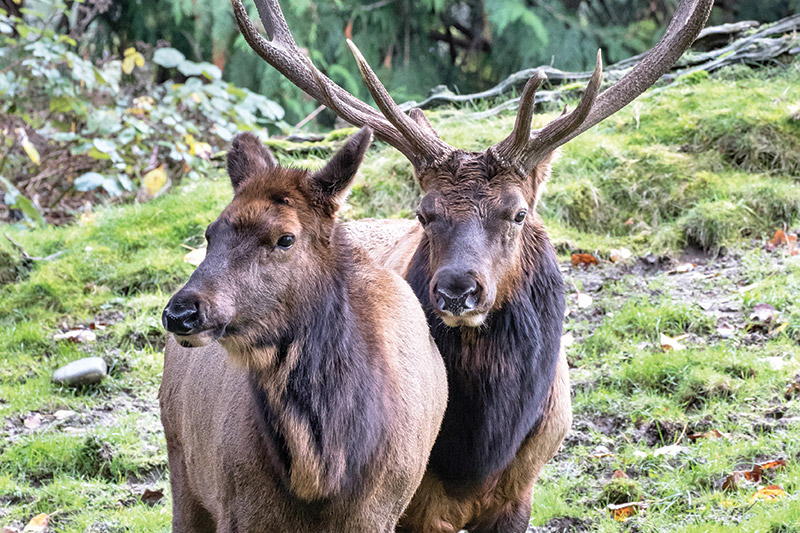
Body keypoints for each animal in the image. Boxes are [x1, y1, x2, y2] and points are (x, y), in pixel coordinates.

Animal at [159, 127, 448, 533]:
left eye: (285, 238)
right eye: (210, 233)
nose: (181, 312)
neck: (321, 476)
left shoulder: (381, 512)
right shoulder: (237, 509)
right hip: (182, 464)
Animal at [231, 1, 713, 531]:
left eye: (518, 213)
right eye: (425, 213)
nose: (458, 290)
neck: (478, 452)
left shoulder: (520, 492)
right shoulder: (410, 506)